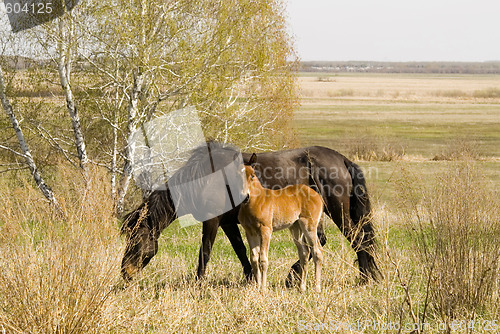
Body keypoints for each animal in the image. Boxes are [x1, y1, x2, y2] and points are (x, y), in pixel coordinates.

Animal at [121, 141, 382, 284]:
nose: (125, 273)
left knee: (359, 239)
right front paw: (249, 277)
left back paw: (364, 278)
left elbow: (205, 251)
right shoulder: (228, 223)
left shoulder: (212, 221)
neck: (204, 178)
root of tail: (342, 160)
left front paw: (198, 283)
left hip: (338, 213)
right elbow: (240, 250)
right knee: (327, 241)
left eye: (136, 241)